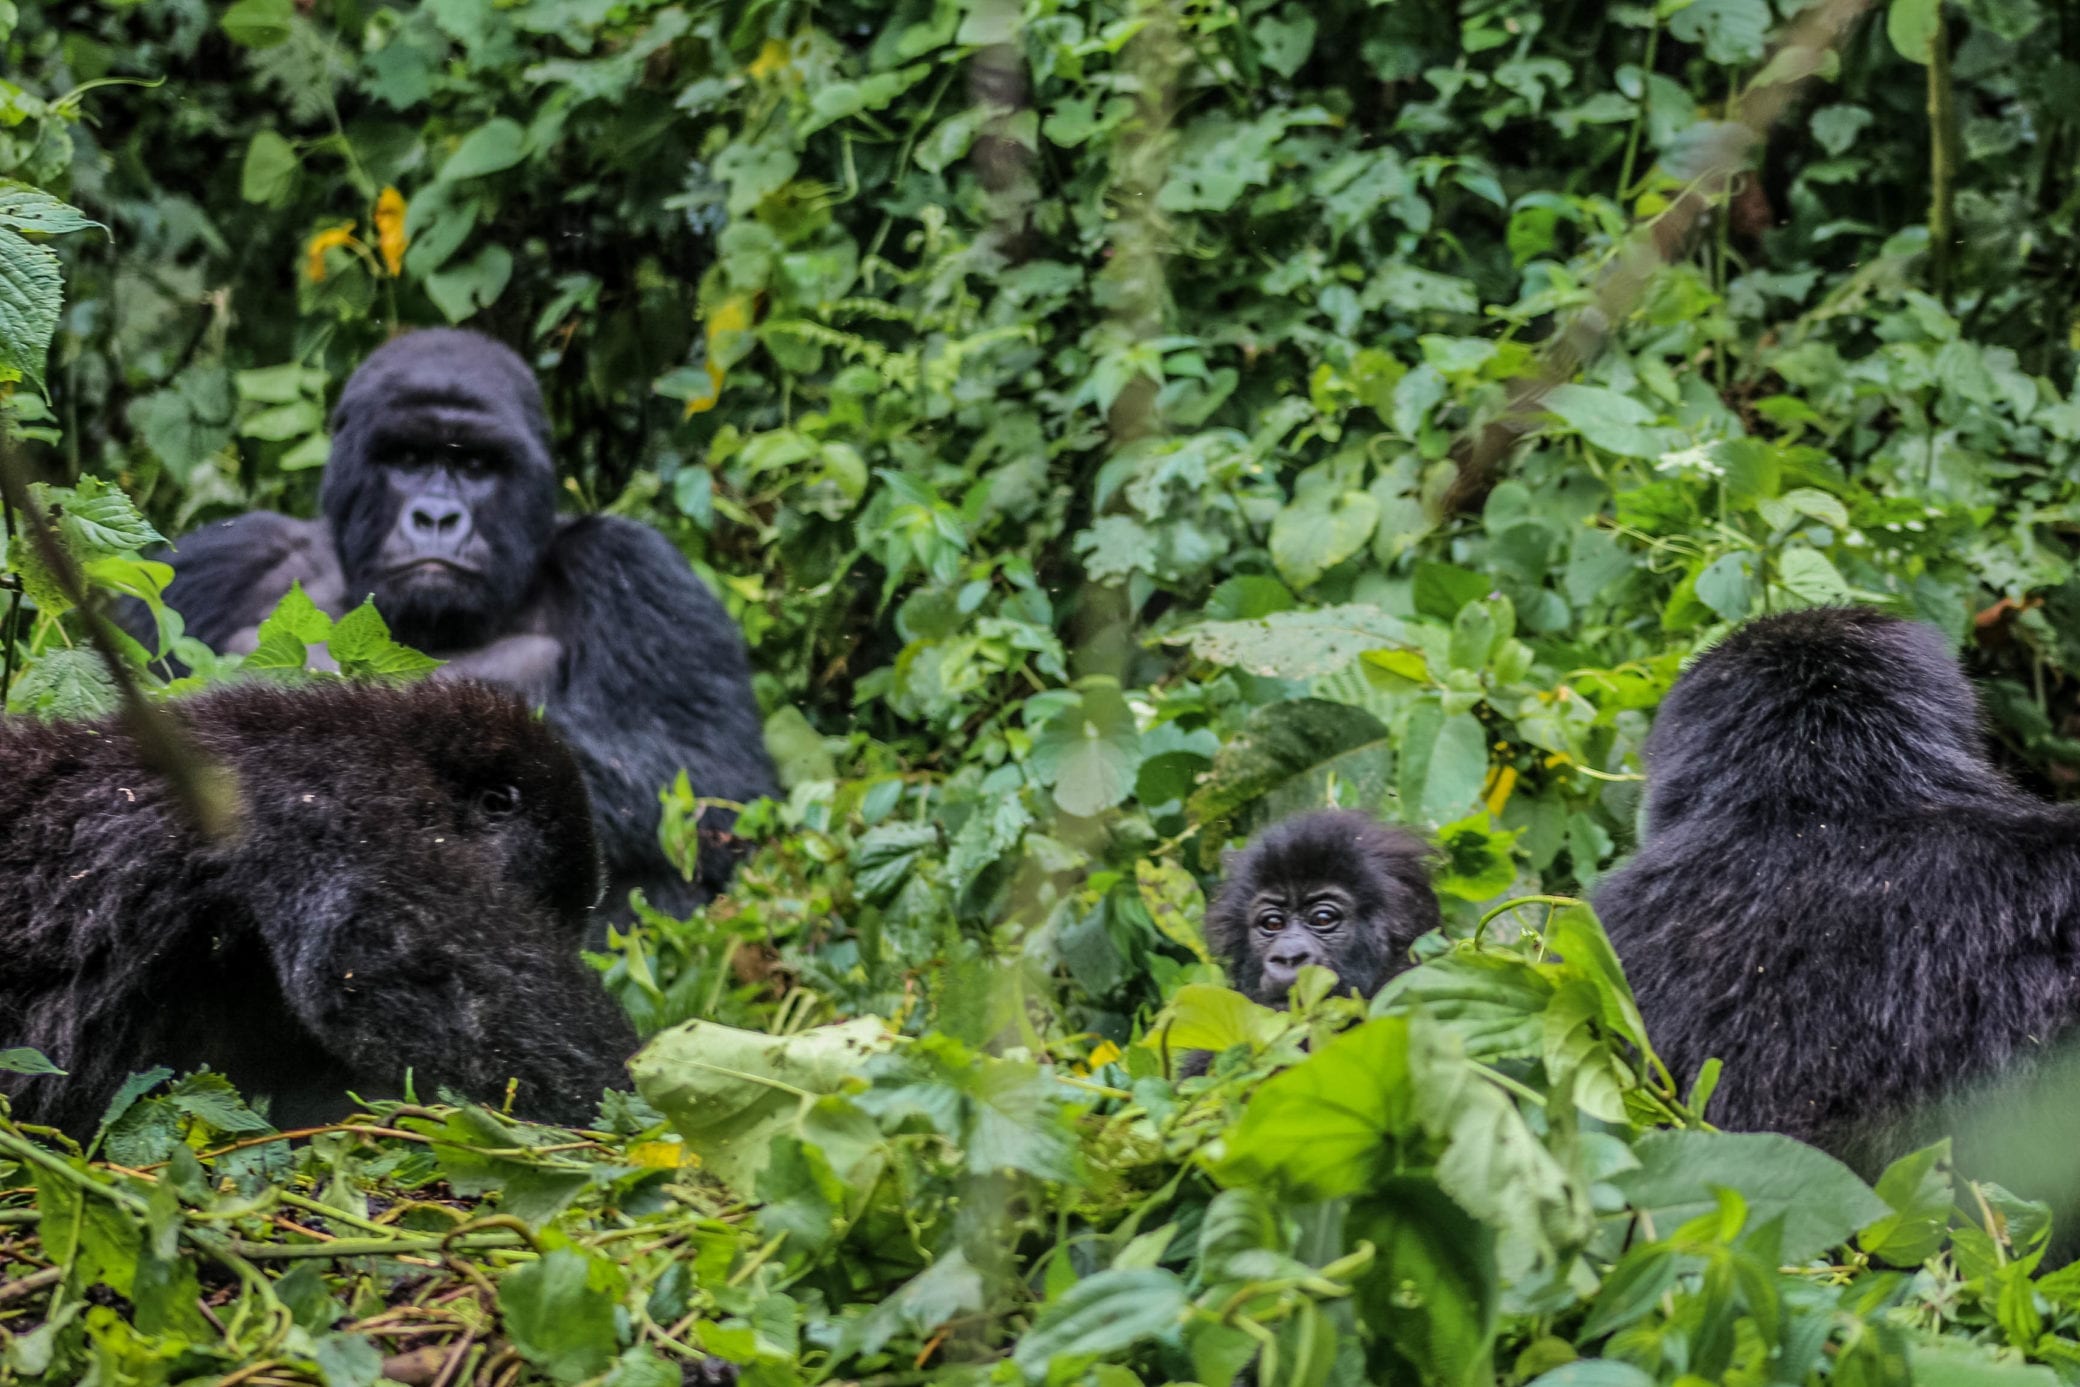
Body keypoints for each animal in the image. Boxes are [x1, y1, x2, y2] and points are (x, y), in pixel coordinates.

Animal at [123, 328, 786, 923]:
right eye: (410, 459)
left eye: (475, 466)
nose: (437, 517)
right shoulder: (219, 562)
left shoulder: (633, 566)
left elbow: (717, 787)